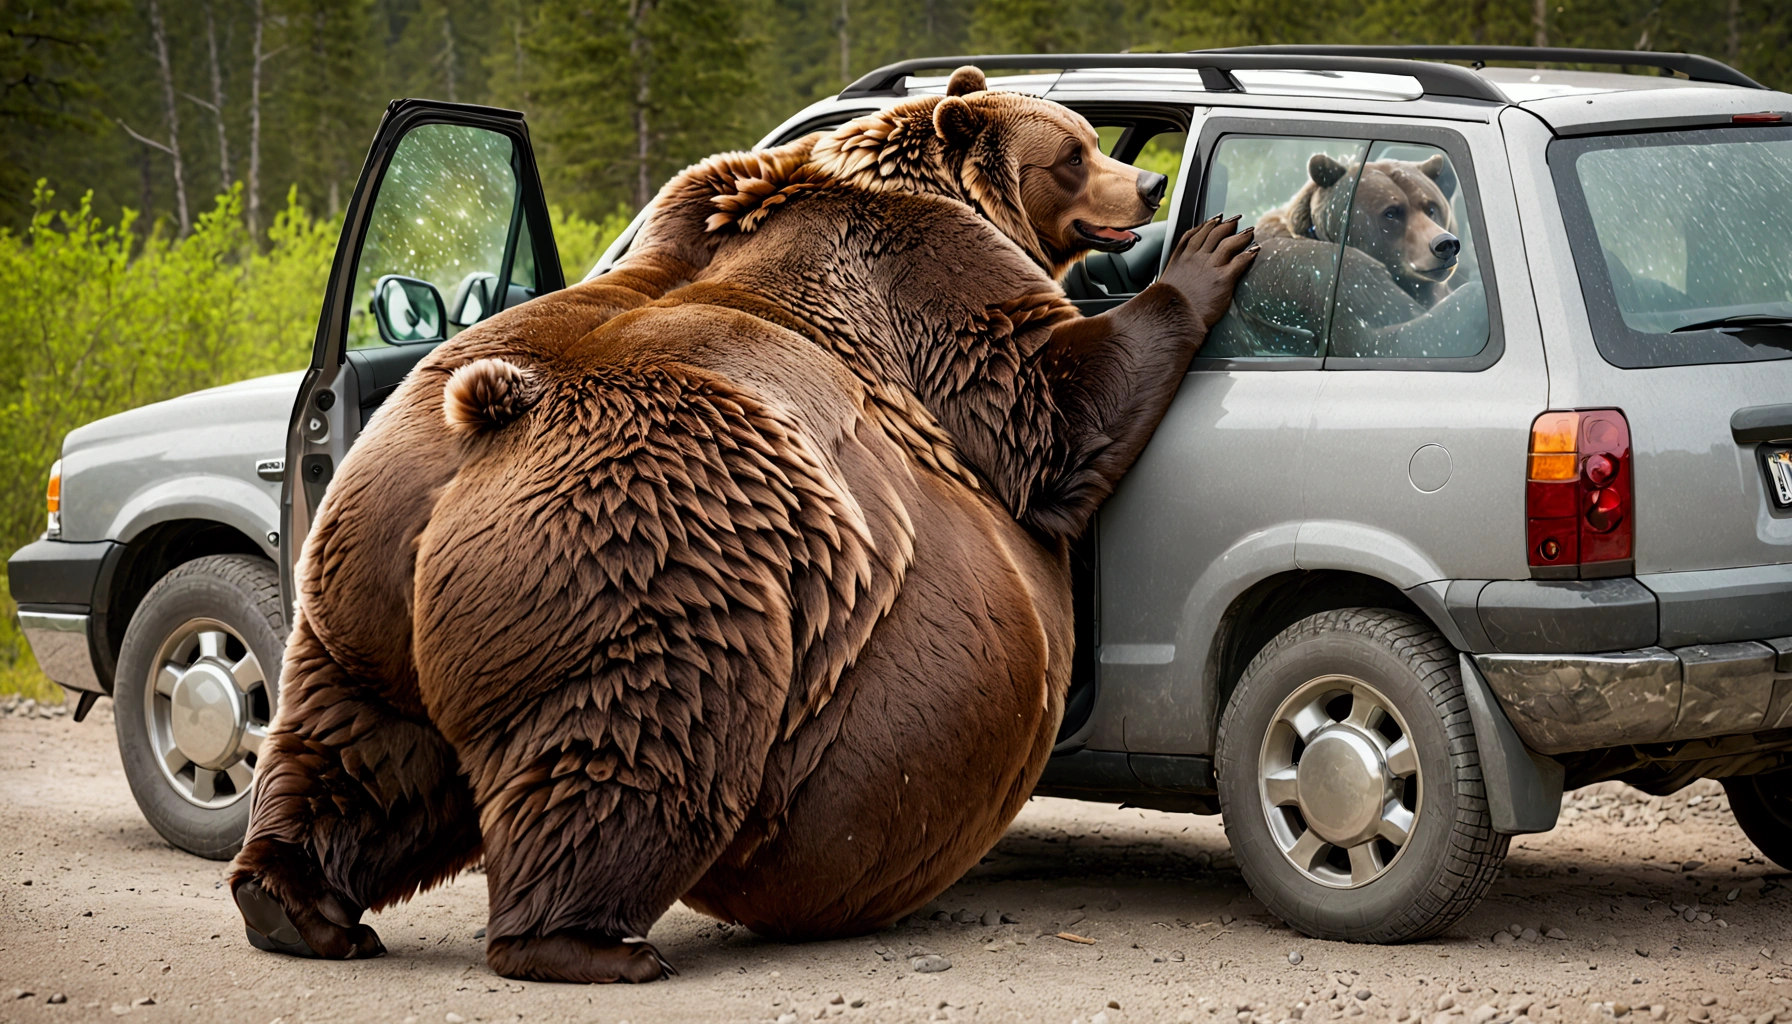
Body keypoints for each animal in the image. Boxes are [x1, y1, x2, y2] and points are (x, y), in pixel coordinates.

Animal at [231, 68, 1254, 982]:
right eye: (1075, 154)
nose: (1152, 187)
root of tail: (475, 436)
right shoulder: (938, 293)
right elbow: (1055, 407)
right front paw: (1213, 254)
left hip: (359, 591)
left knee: (358, 750)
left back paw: (293, 902)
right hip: (647, 558)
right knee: (633, 745)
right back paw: (592, 942)